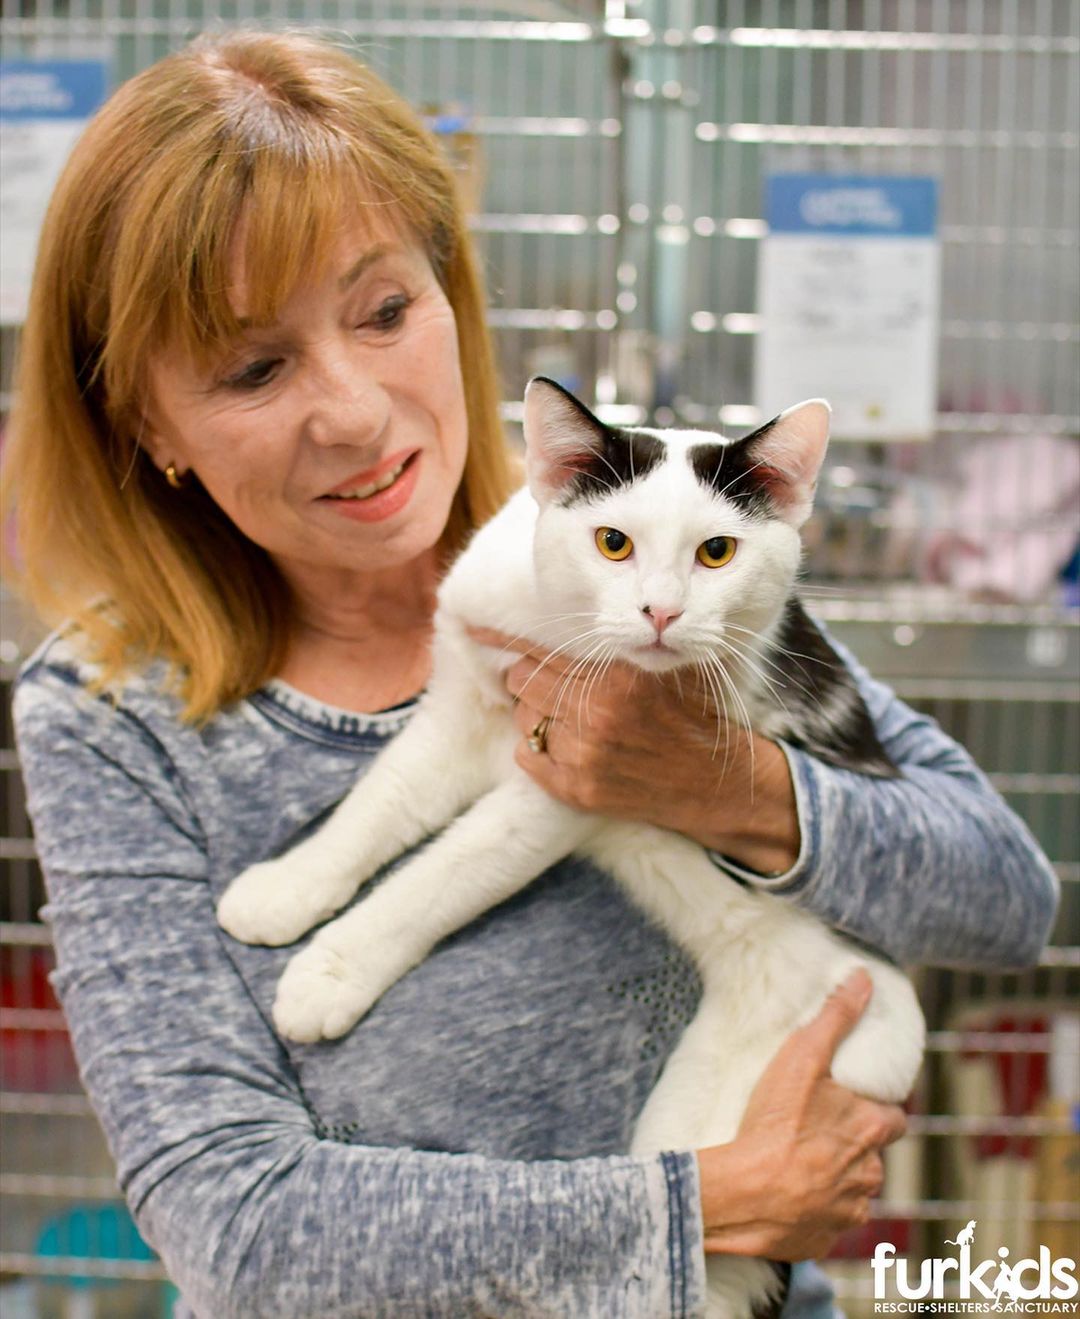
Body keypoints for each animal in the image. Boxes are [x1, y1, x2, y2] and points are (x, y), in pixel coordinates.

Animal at [221, 374, 928, 1319]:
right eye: (612, 542)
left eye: (716, 552)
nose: (661, 611)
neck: (559, 633)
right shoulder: (460, 708)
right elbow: (378, 804)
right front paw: (287, 887)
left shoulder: (569, 784)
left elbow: (440, 873)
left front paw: (329, 971)